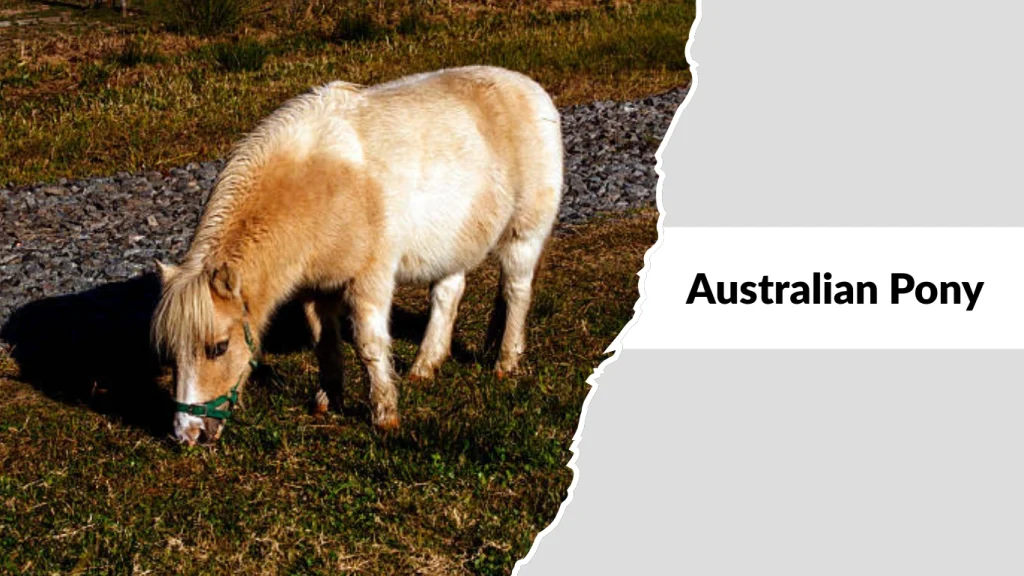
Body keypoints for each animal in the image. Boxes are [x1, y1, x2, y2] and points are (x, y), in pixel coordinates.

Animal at [151, 66, 564, 445]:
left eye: (218, 347)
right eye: (172, 353)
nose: (187, 434)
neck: (318, 185)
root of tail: (529, 88)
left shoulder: (370, 279)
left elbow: (368, 344)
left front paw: (384, 414)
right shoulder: (316, 287)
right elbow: (324, 340)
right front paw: (328, 398)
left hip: (523, 234)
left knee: (516, 292)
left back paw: (506, 362)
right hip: (453, 243)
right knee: (448, 294)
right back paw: (425, 366)